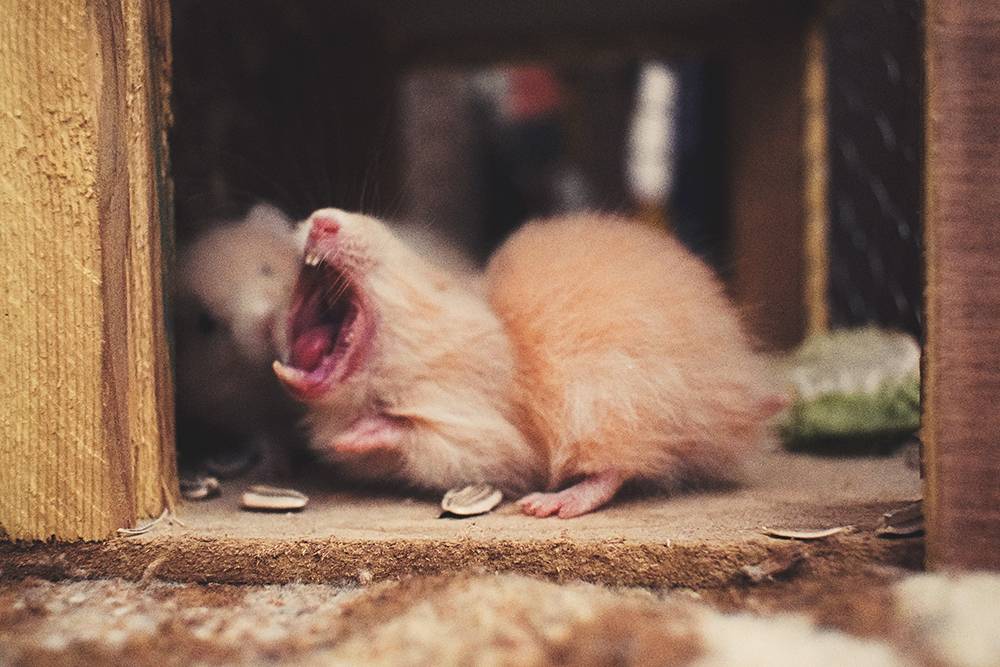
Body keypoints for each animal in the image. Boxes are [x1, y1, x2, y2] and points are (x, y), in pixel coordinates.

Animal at [274, 209, 780, 516]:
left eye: (401, 255)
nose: (321, 219)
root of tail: (743, 394)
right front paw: (334, 442)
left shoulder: (483, 431)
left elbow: (419, 434)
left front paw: (348, 437)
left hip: (613, 397)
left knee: (619, 464)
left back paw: (549, 505)